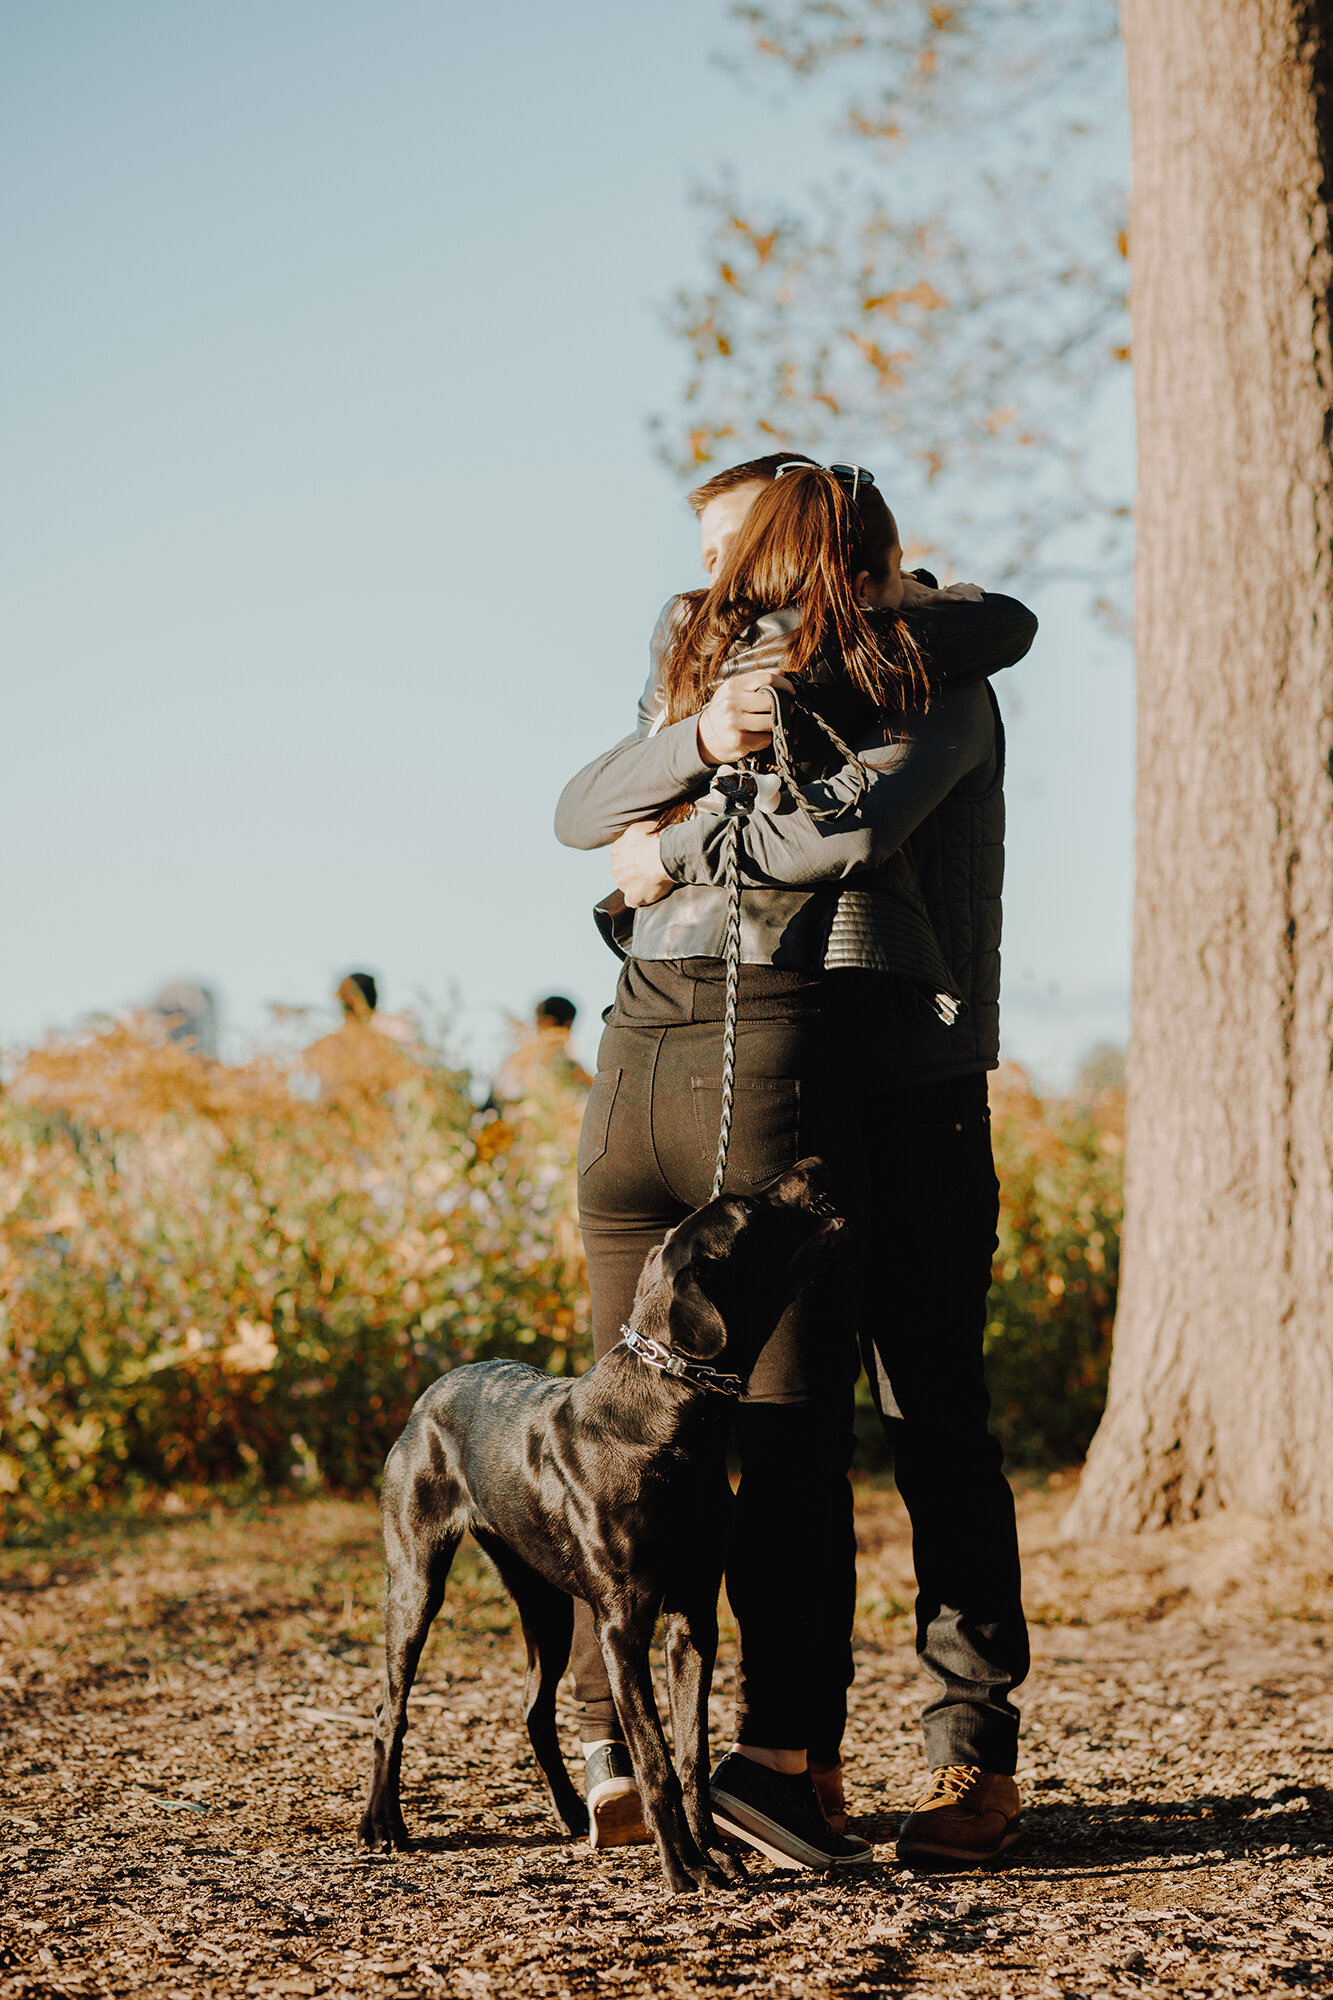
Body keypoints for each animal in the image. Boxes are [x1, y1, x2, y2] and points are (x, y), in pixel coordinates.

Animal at [356, 1160, 840, 1888]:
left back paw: (566, 1811)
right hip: (416, 1582)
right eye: (748, 1209)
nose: (813, 1165)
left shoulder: (692, 1620)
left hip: (545, 1604)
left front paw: (715, 1851)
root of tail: (432, 1391)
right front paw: (682, 1867)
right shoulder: (621, 1627)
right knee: (392, 1707)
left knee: (533, 1711)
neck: (671, 1413)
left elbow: (691, 1754)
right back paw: (383, 1824)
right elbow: (654, 1759)